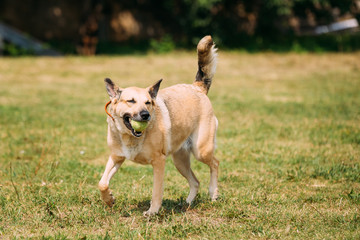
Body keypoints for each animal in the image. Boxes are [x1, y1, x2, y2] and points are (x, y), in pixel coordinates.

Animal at [98, 35, 219, 216]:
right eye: (131, 101)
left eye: (148, 102)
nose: (145, 115)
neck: (130, 137)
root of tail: (197, 87)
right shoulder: (116, 157)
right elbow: (102, 183)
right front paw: (109, 199)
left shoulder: (159, 162)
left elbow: (156, 191)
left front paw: (152, 212)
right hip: (180, 160)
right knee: (195, 181)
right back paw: (188, 202)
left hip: (201, 151)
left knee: (215, 163)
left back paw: (213, 193)